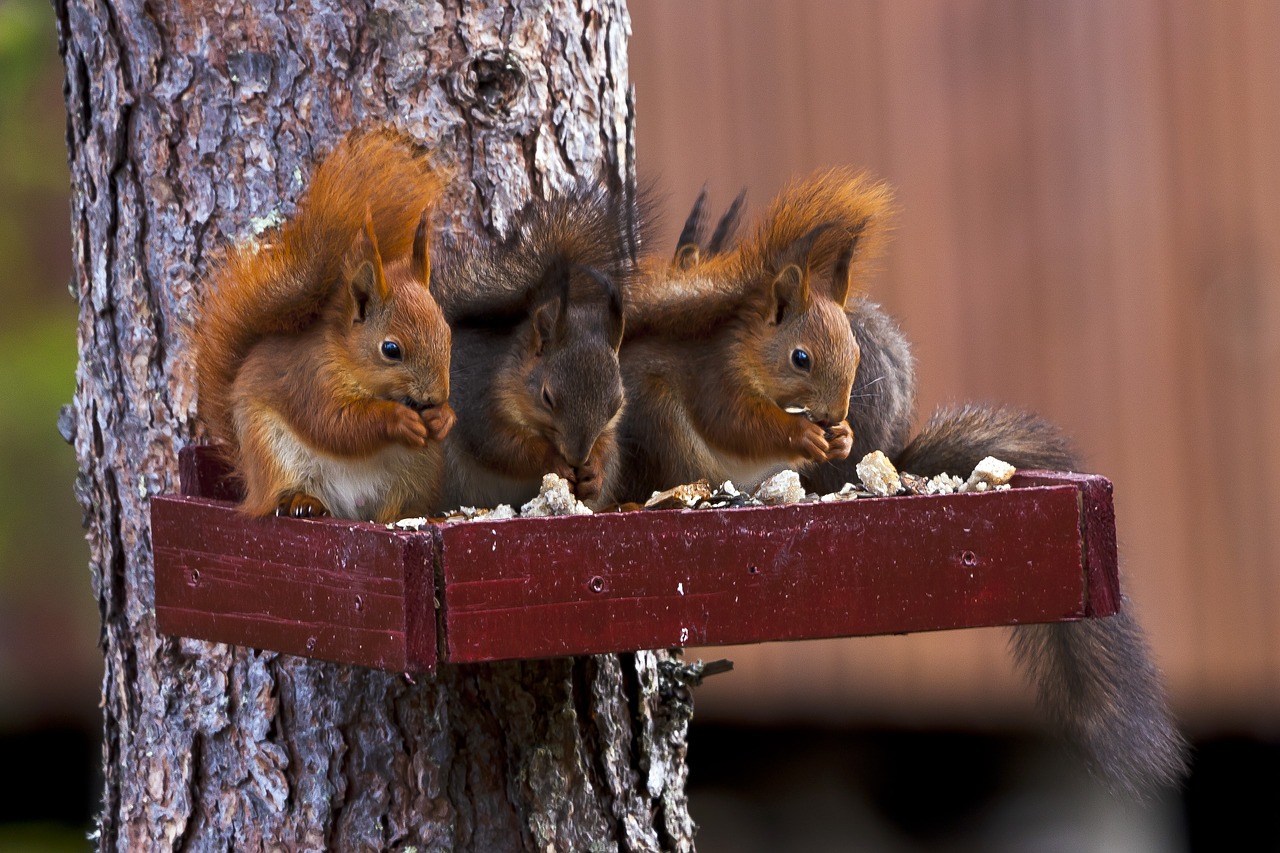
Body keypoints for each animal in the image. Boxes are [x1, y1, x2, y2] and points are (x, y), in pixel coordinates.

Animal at [186, 128, 453, 522]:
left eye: (447, 333)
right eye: (391, 349)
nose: (436, 397)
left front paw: (443, 418)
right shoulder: (310, 379)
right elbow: (334, 425)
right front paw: (397, 420)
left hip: (418, 470)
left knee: (398, 507)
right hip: (273, 454)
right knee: (284, 493)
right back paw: (303, 502)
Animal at [432, 183, 637, 507]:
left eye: (616, 403)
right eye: (547, 397)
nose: (577, 458)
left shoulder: (608, 431)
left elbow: (606, 447)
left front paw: (595, 472)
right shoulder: (478, 406)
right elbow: (505, 448)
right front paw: (552, 459)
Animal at [606, 171, 890, 504]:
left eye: (856, 353)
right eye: (800, 358)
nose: (836, 414)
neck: (750, 352)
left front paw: (844, 436)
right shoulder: (716, 377)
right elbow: (738, 426)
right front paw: (803, 434)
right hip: (659, 419)